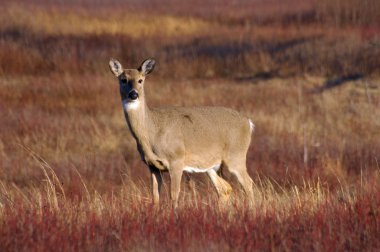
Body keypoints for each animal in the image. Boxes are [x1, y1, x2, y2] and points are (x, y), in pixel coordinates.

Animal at [108, 58, 254, 208]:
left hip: (236, 155)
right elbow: (155, 196)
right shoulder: (152, 165)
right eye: (123, 80)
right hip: (212, 165)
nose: (133, 94)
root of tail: (248, 122)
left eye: (140, 80)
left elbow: (174, 195)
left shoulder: (176, 159)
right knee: (225, 188)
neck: (152, 132)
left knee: (248, 183)